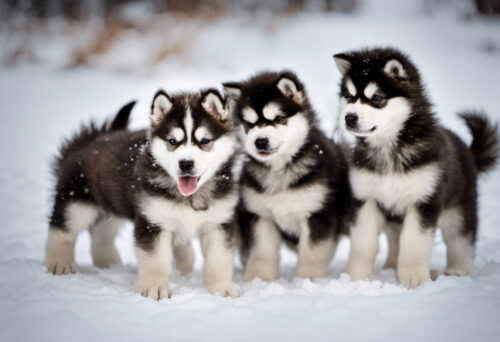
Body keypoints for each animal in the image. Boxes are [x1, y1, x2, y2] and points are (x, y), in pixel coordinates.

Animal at [45, 89, 242, 300]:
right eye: (172, 141)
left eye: (204, 141)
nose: (186, 164)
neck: (189, 196)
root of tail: (88, 139)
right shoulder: (152, 221)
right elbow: (156, 260)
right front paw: (153, 289)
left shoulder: (218, 223)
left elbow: (218, 260)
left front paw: (222, 289)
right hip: (77, 202)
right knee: (62, 230)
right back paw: (58, 263)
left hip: (111, 203)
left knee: (101, 234)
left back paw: (109, 264)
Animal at [223, 70, 352, 280]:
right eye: (250, 124)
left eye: (278, 118)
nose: (260, 141)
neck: (280, 169)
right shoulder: (260, 214)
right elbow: (262, 251)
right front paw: (259, 278)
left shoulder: (317, 213)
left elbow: (313, 251)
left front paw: (308, 279)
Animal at [334, 46, 498, 288]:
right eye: (348, 97)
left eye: (377, 98)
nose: (349, 117)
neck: (390, 149)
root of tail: (468, 150)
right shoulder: (366, 199)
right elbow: (363, 244)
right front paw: (354, 278)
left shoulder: (424, 201)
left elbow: (413, 243)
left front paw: (414, 280)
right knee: (395, 239)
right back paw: (390, 267)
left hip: (459, 210)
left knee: (461, 241)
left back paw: (458, 271)